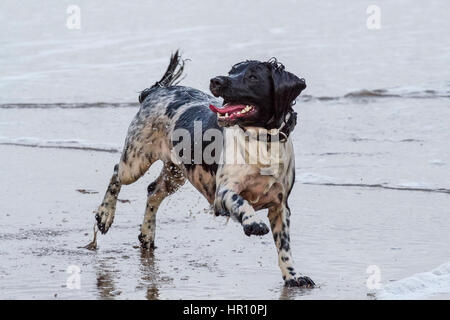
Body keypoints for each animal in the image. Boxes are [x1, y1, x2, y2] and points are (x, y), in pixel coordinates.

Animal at [93, 50, 314, 288]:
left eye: (253, 76)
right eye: (231, 71)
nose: (216, 80)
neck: (261, 142)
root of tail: (156, 90)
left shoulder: (280, 205)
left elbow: (284, 247)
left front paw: (293, 276)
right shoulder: (222, 194)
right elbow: (241, 201)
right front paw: (253, 223)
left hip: (175, 173)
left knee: (153, 191)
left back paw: (147, 234)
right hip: (137, 159)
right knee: (117, 173)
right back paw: (105, 215)